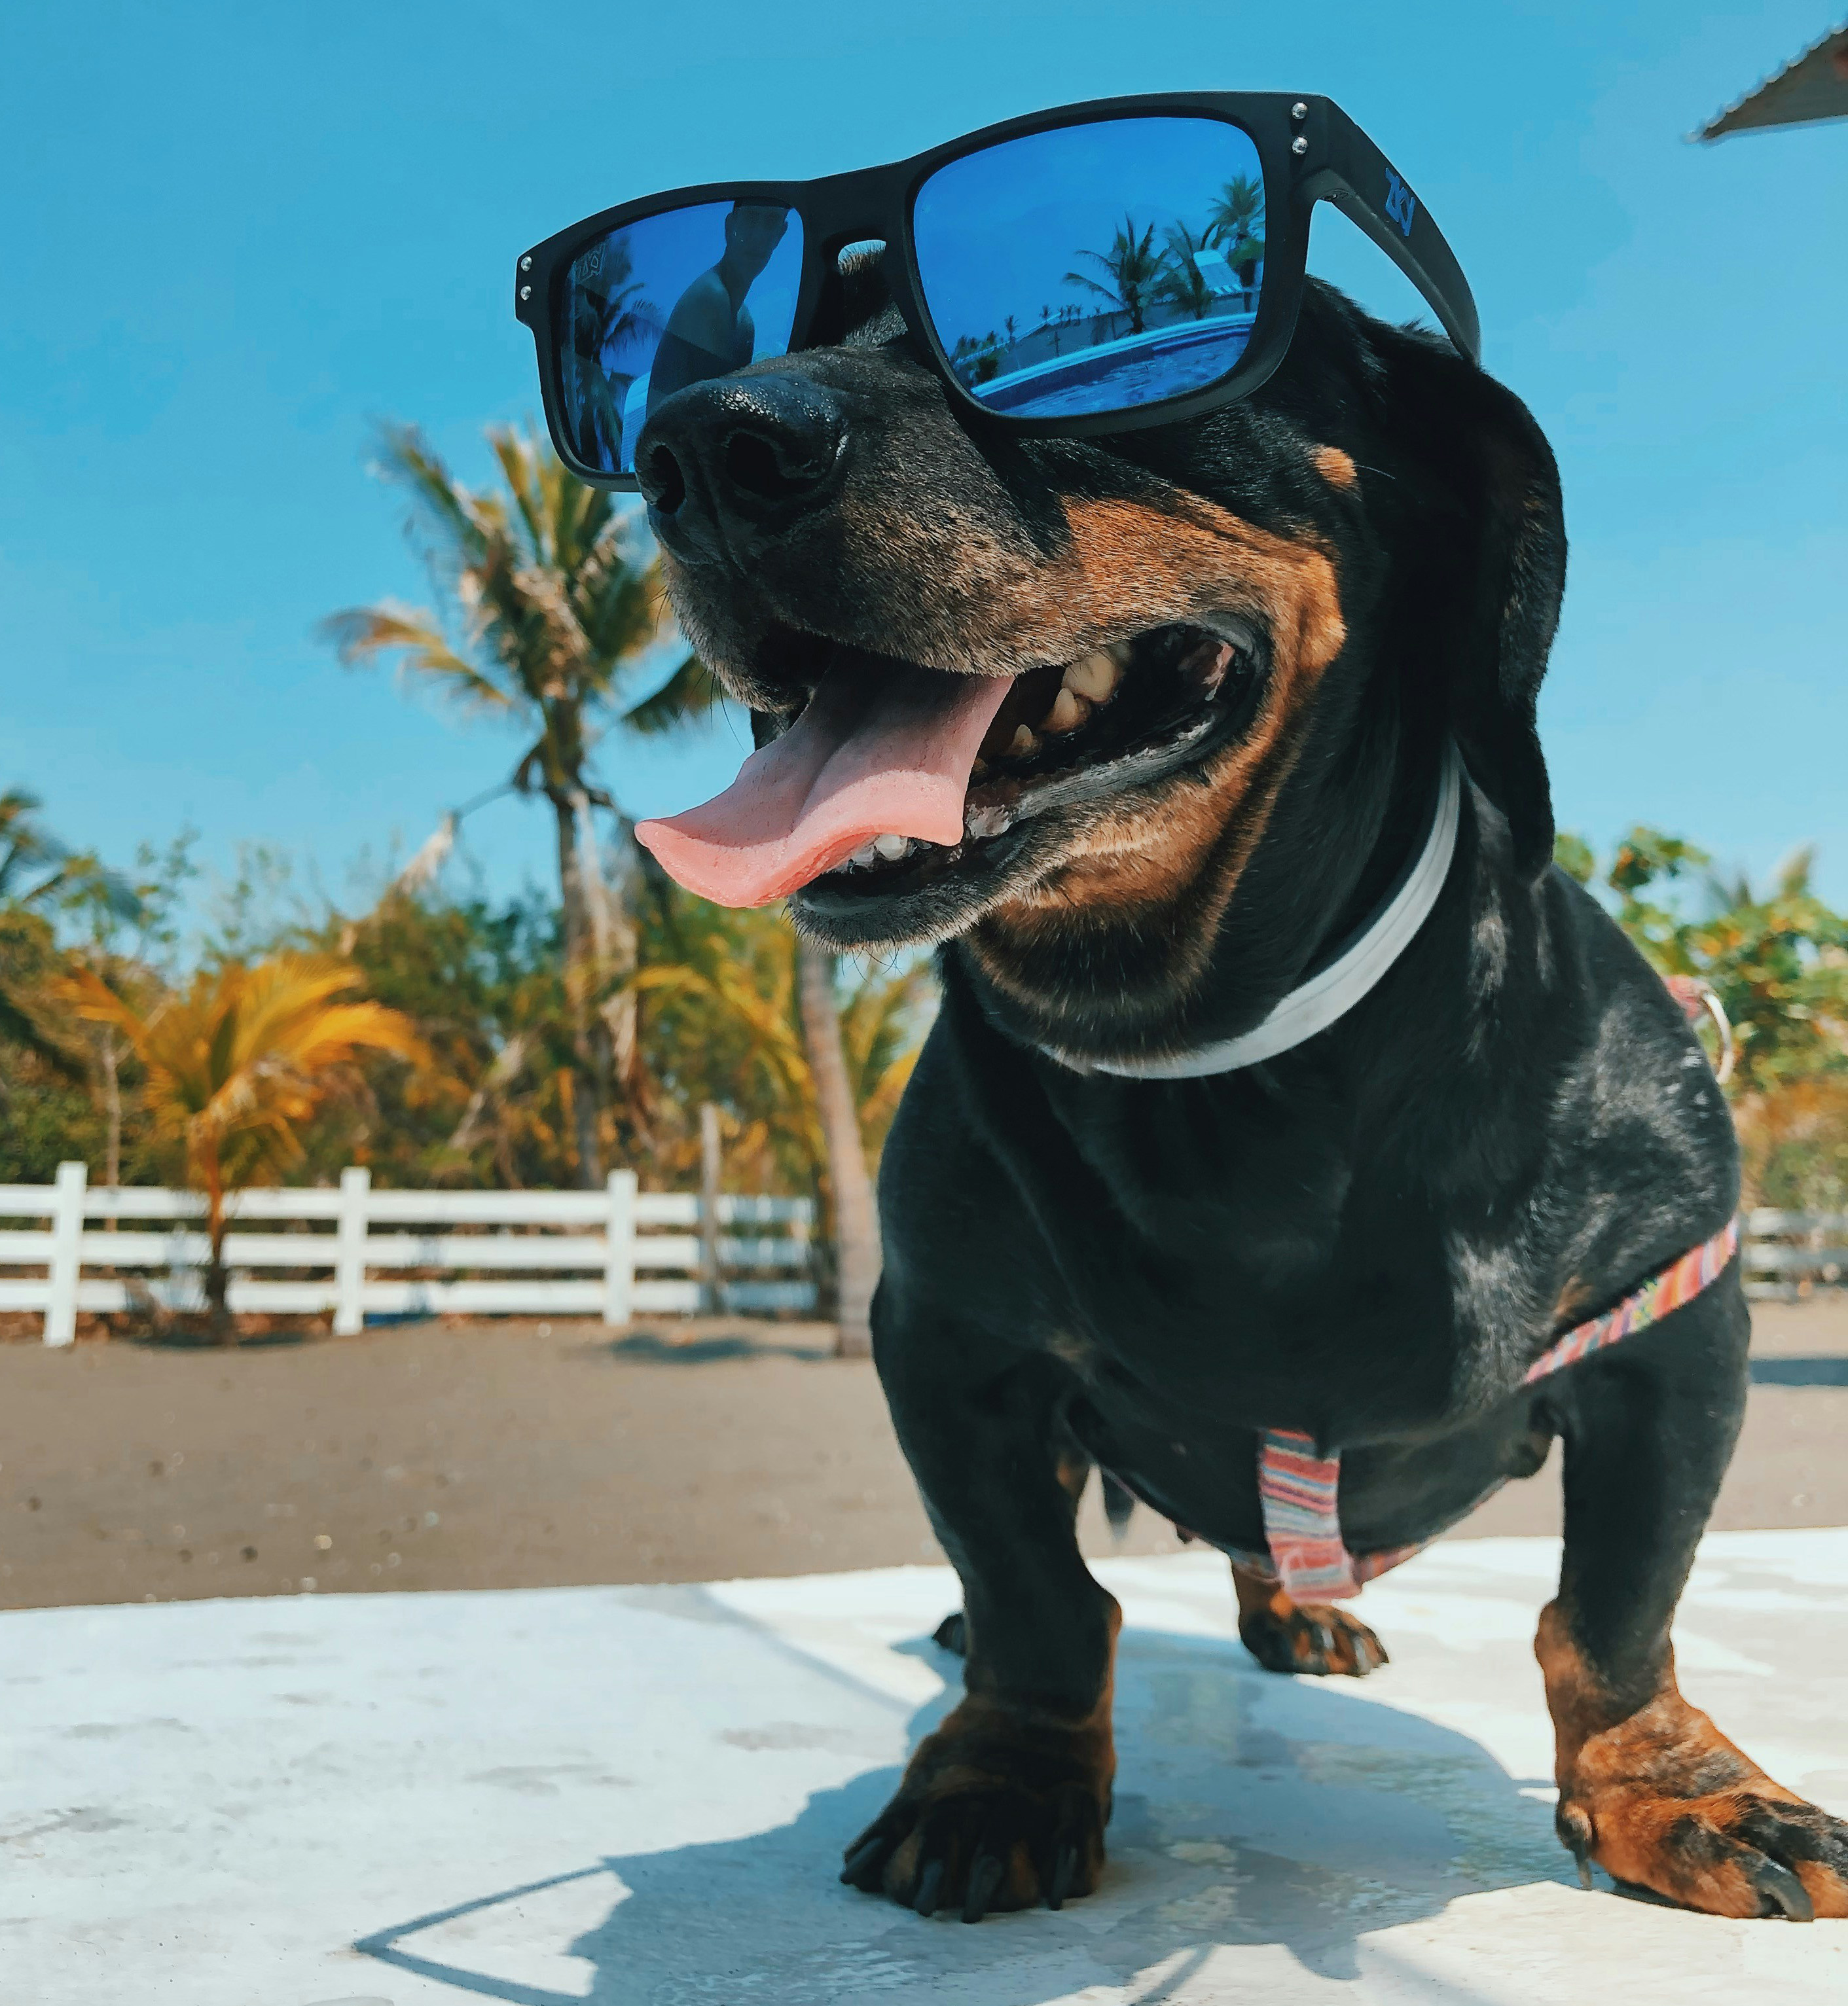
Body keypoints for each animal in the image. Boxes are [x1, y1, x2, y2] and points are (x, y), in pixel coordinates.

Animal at [630, 255, 1845, 1925]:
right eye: (789, 324)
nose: (696, 446)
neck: (1222, 1055)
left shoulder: (1674, 1334)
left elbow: (1614, 1606)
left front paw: (1676, 1784)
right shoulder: (946, 1341)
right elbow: (1034, 1591)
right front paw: (1002, 1771)